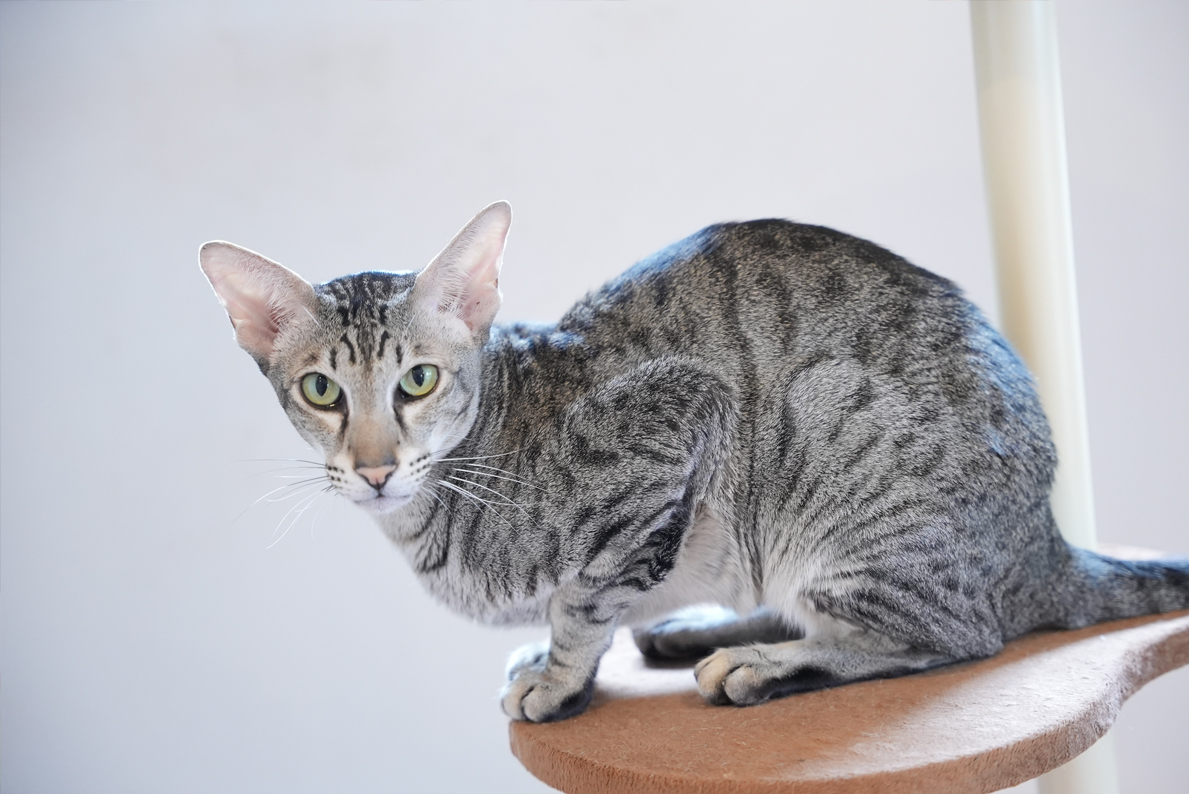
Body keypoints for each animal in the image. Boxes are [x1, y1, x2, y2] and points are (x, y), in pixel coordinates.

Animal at [199, 202, 1189, 722]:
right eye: (321, 391)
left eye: (417, 380)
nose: (373, 467)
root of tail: (1045, 547)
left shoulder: (671, 422)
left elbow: (580, 599)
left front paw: (557, 676)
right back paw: (694, 632)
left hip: (833, 463)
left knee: (948, 635)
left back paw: (761, 663)